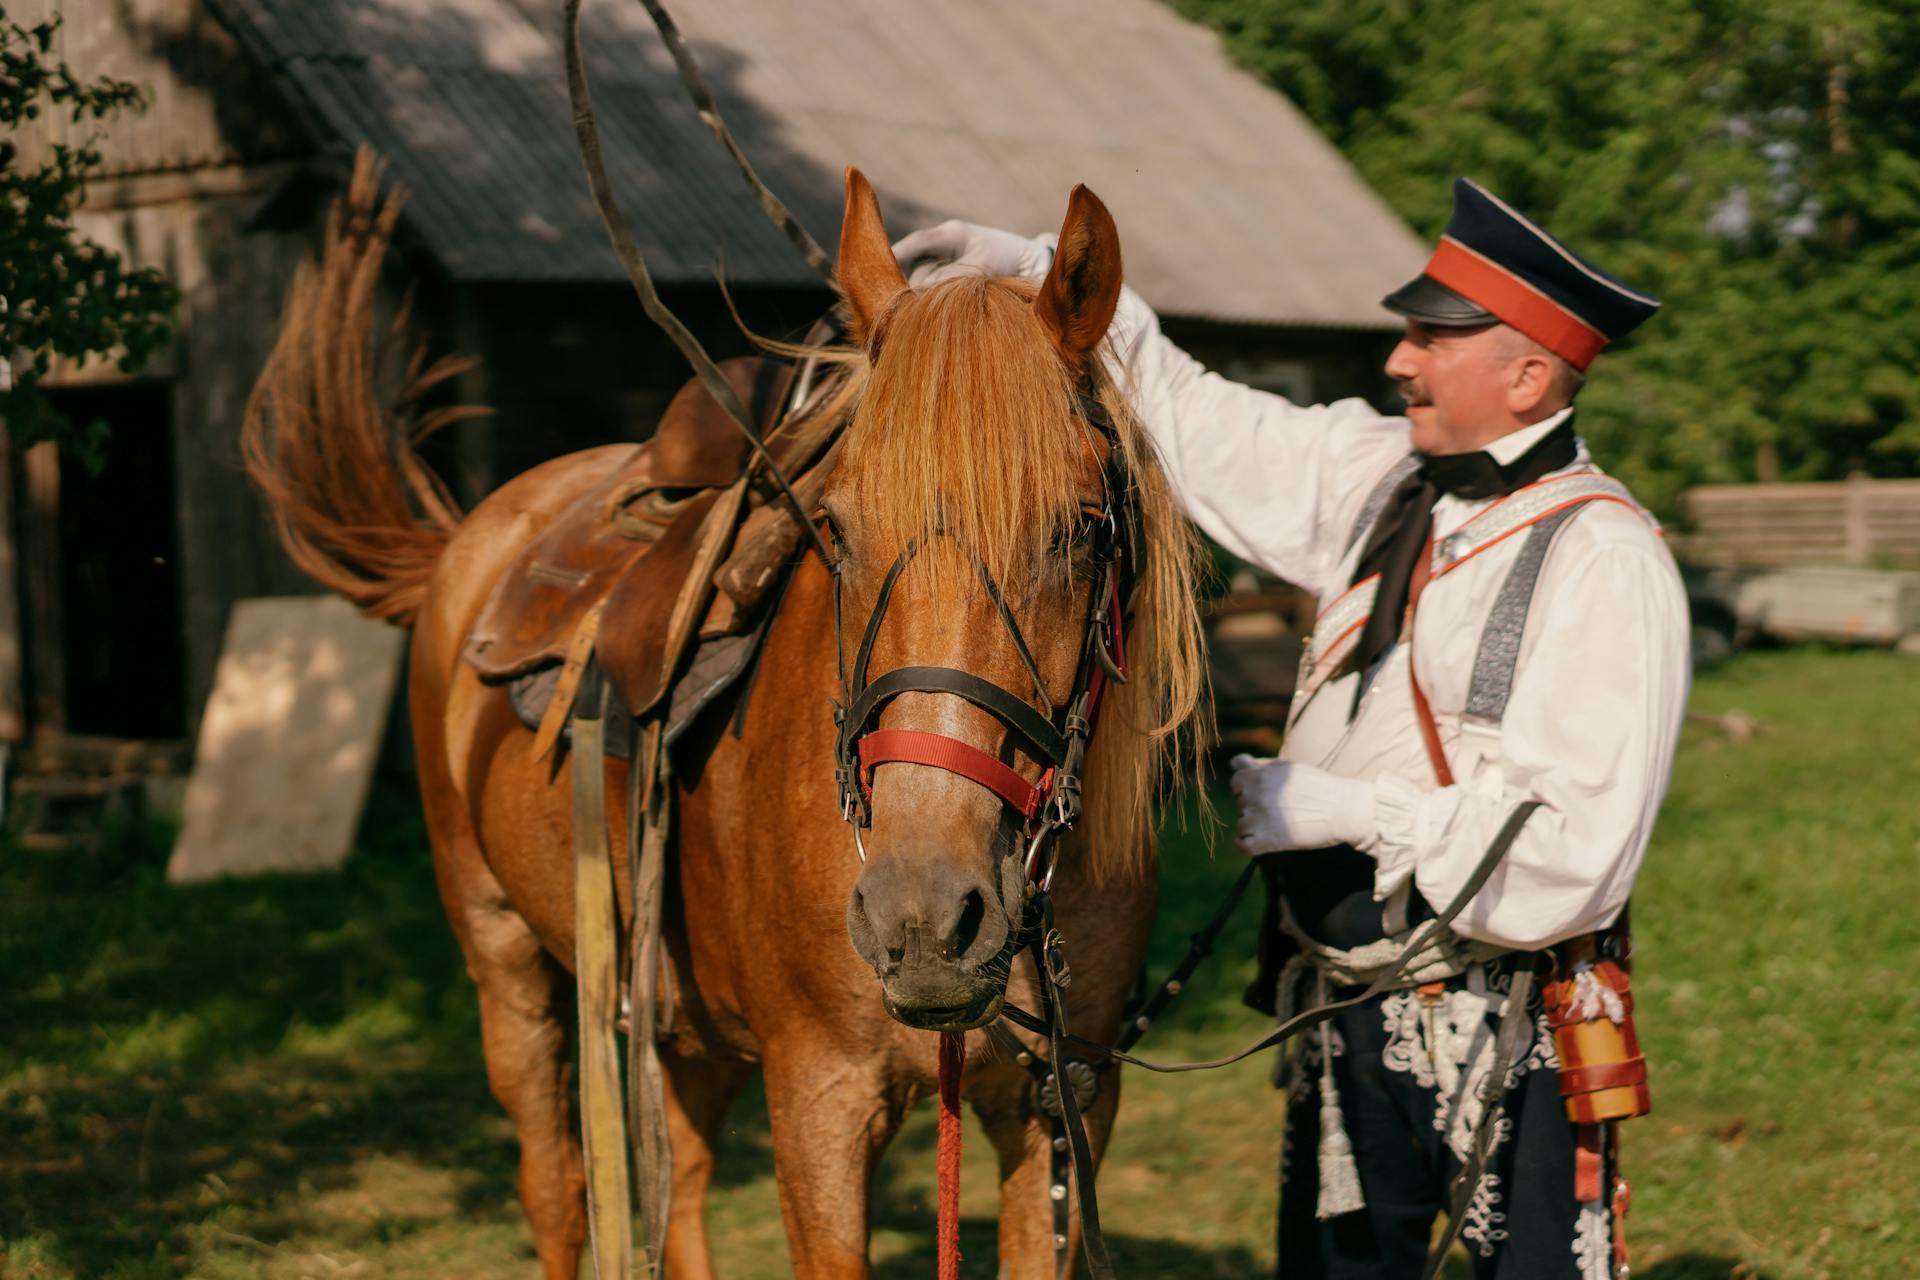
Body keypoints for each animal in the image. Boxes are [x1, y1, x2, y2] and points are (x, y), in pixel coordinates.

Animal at [240, 163, 1198, 1280]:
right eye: (834, 527)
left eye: (1083, 530)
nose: (923, 917)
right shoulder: (821, 1103)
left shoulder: (1061, 1111)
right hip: (507, 965)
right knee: (558, 1191)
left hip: (679, 1022)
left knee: (682, 1193)